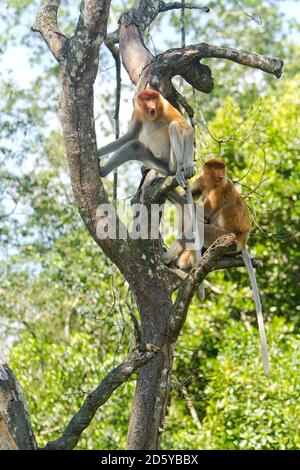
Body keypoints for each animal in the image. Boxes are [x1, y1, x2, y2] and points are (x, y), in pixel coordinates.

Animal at [163, 159, 270, 378]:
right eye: (216, 168)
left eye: (222, 168)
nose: (221, 175)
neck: (214, 183)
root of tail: (242, 242)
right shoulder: (203, 181)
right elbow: (188, 199)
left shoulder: (219, 192)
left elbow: (202, 216)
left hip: (224, 237)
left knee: (199, 226)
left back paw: (170, 259)